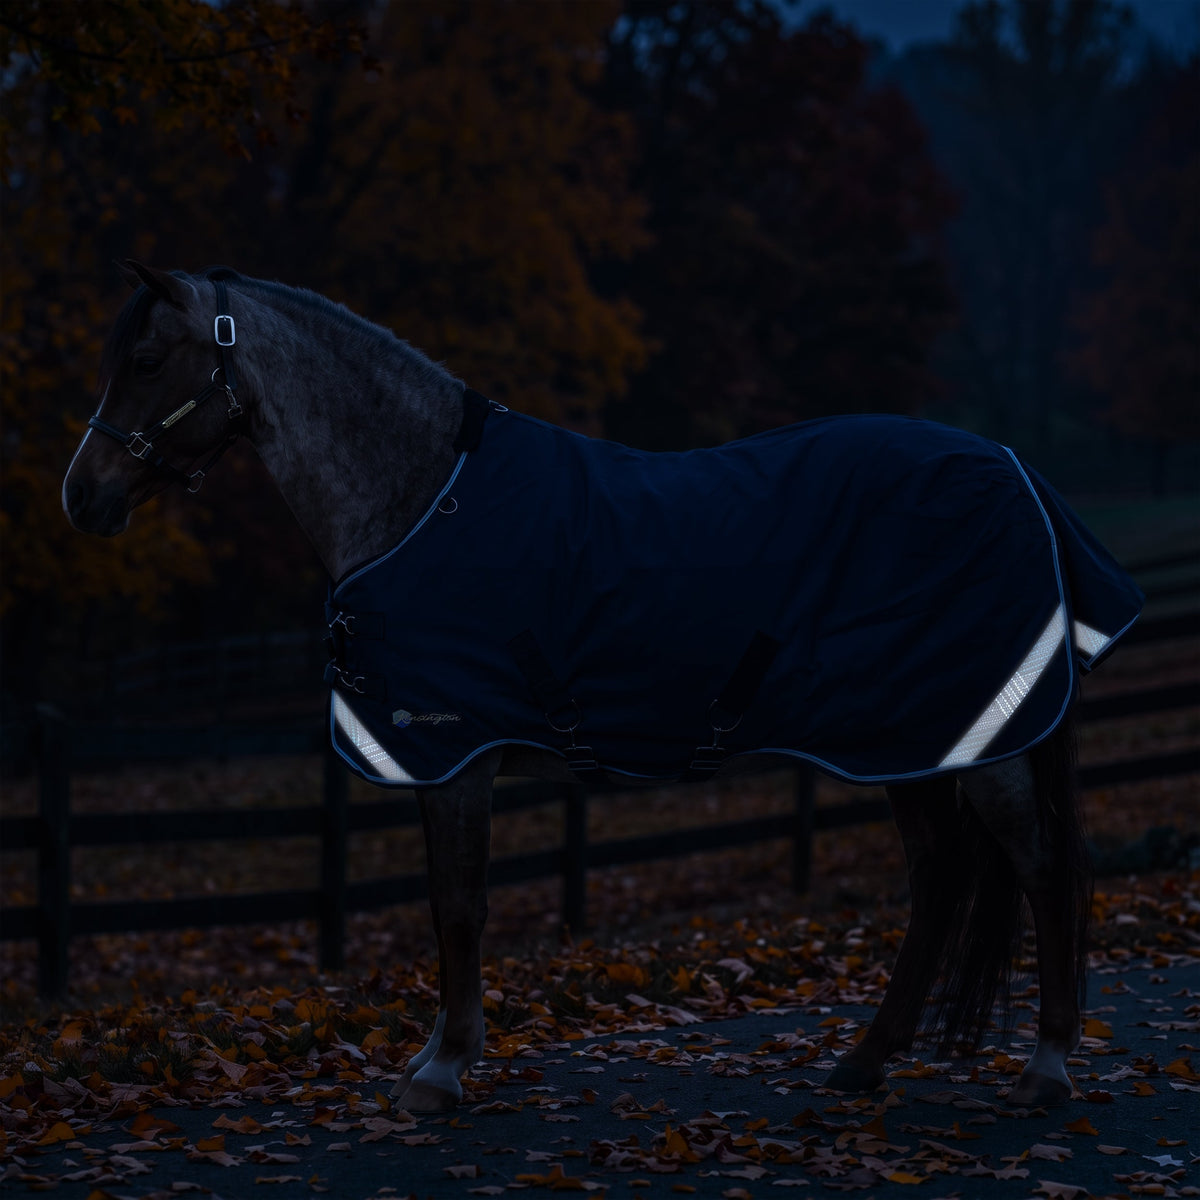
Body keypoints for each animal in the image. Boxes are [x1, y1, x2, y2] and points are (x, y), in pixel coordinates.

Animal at [63, 262, 1142, 1113]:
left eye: (148, 360)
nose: (83, 496)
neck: (420, 499)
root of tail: (1014, 470)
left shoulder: (455, 752)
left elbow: (458, 907)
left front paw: (442, 1073)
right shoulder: (445, 759)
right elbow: (446, 905)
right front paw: (436, 1056)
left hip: (972, 739)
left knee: (1042, 870)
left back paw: (1046, 1067)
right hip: (906, 740)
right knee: (942, 878)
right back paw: (866, 1060)